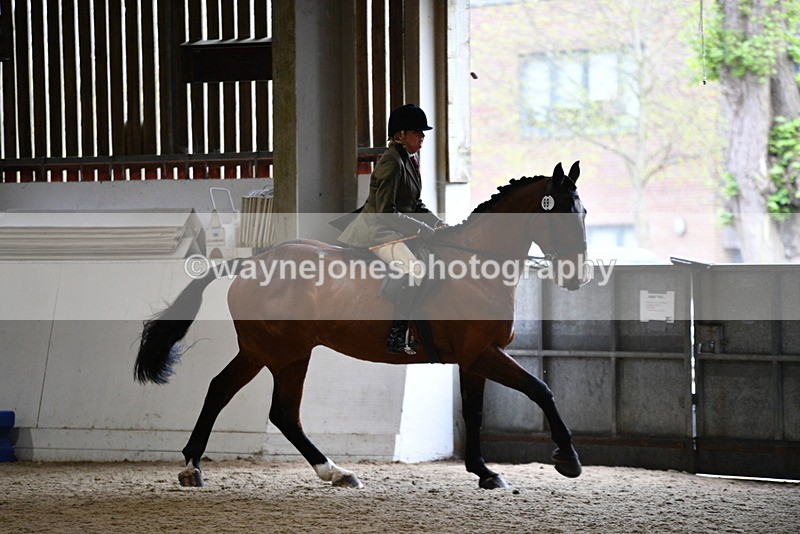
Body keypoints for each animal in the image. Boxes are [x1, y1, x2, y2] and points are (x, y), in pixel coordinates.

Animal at [134, 161, 588, 490]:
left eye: (583, 212)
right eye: (564, 215)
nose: (576, 277)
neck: (476, 264)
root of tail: (251, 263)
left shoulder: (475, 358)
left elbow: (475, 412)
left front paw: (484, 472)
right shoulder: (482, 354)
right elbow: (541, 390)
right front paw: (567, 460)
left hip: (270, 351)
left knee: (236, 395)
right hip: (281, 351)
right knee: (269, 407)